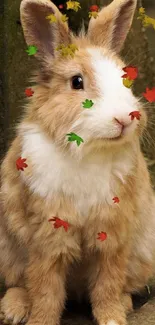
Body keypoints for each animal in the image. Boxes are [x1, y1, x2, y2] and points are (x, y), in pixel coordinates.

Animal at [0, 0, 155, 322]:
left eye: (124, 77)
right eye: (77, 82)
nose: (125, 119)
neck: (89, 150)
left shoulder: (112, 232)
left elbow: (108, 282)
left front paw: (112, 318)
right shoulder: (48, 234)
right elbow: (45, 287)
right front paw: (40, 321)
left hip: (143, 252)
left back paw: (124, 304)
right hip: (8, 251)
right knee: (20, 283)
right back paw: (13, 309)